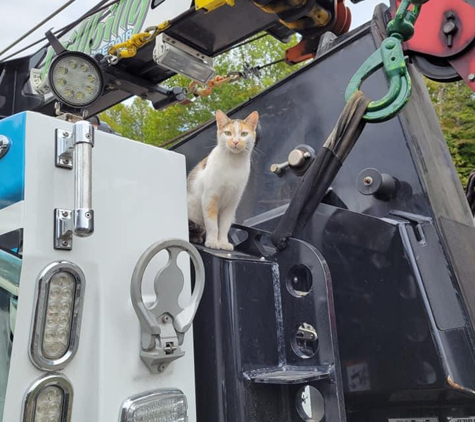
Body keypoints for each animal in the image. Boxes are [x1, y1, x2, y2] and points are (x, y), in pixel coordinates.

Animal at [187, 109, 260, 251]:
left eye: (244, 134)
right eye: (228, 133)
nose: (235, 141)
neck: (233, 164)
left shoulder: (231, 203)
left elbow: (224, 226)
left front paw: (223, 243)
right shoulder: (210, 198)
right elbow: (213, 225)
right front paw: (212, 242)